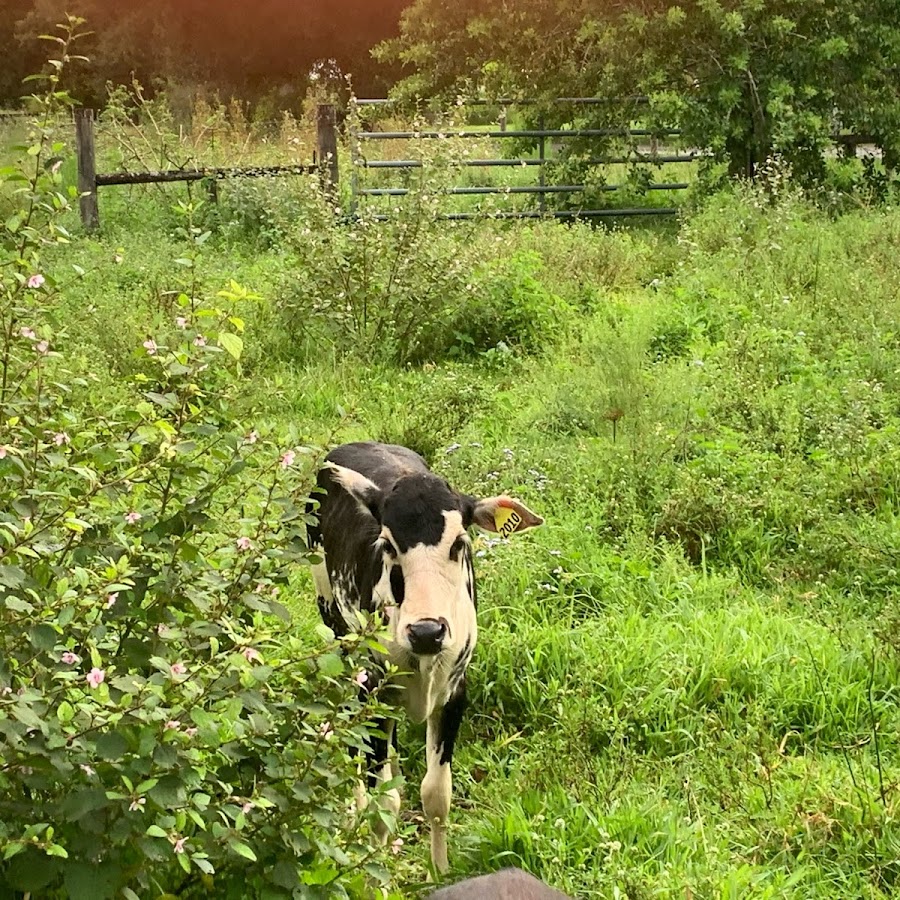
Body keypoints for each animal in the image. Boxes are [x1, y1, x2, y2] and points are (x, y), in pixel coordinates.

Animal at [308, 442, 540, 872]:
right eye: (388, 545)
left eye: (459, 544)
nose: (427, 631)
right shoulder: (373, 691)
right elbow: (382, 802)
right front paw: (375, 874)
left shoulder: (455, 693)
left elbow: (436, 794)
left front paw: (440, 870)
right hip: (335, 623)